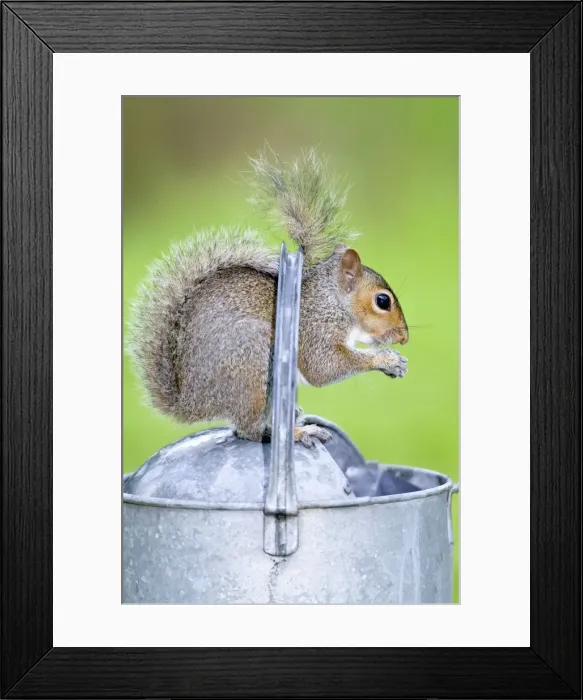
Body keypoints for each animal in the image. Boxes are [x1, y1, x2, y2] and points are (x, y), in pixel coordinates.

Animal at [127, 148, 409, 448]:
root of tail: (193, 403)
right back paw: (297, 433)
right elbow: (324, 368)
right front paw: (387, 360)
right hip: (251, 363)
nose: (404, 337)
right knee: (248, 430)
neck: (332, 301)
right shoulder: (314, 329)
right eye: (383, 301)